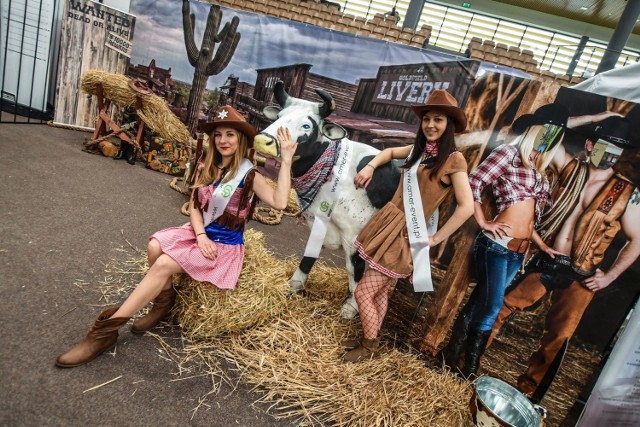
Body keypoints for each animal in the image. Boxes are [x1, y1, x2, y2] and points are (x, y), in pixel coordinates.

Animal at [251, 82, 398, 320]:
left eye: (306, 125)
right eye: (279, 116)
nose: (264, 142)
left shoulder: (356, 236)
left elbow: (356, 272)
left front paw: (352, 308)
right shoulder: (319, 221)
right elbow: (309, 255)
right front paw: (294, 285)